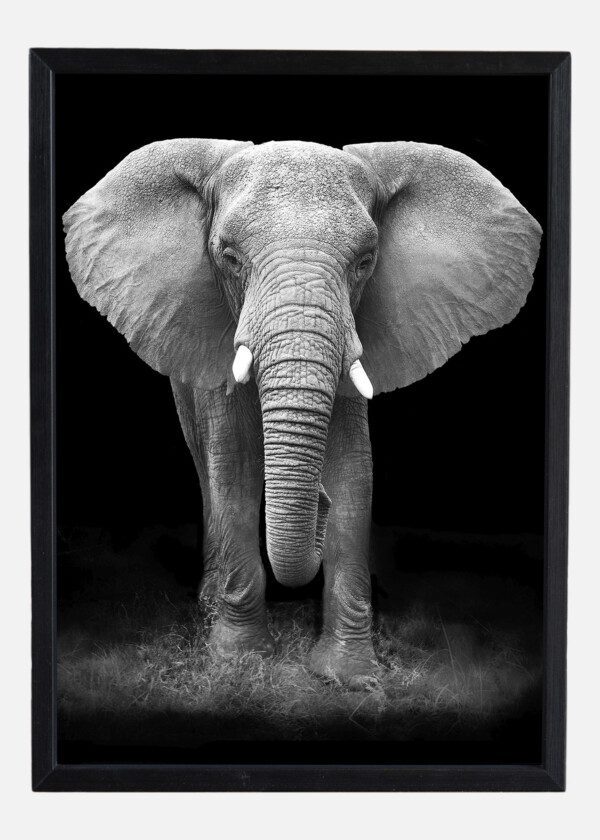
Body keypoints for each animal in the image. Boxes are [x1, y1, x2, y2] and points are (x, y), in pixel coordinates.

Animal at [63, 139, 541, 686]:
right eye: (229, 257)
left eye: (365, 260)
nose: (319, 502)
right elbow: (234, 469)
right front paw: (240, 661)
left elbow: (354, 472)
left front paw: (350, 676)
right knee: (207, 465)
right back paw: (208, 606)